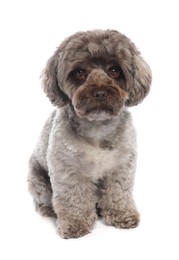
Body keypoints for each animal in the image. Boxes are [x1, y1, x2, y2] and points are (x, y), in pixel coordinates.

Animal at [27, 29, 151, 239]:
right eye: (79, 72)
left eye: (114, 70)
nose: (100, 93)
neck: (97, 128)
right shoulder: (68, 171)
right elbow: (72, 198)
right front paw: (75, 223)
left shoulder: (121, 166)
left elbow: (119, 192)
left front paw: (121, 214)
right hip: (37, 179)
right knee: (44, 198)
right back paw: (49, 209)